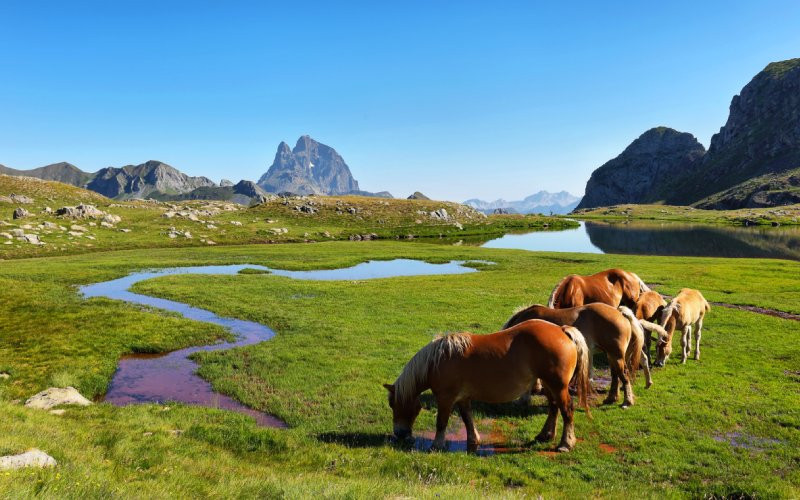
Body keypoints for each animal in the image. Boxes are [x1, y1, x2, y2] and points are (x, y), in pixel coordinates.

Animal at [384, 320, 592, 454]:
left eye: (394, 404)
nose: (399, 434)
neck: (438, 360)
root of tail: (562, 330)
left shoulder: (445, 398)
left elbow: (441, 422)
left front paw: (436, 445)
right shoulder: (462, 398)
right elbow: (467, 419)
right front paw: (474, 440)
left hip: (558, 386)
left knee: (567, 411)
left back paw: (565, 444)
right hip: (549, 385)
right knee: (553, 408)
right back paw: (545, 435)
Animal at [506, 300, 648, 406]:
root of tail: (619, 312)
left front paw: (524, 399)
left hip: (616, 355)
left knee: (624, 375)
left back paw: (627, 401)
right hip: (612, 356)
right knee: (615, 376)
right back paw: (611, 398)